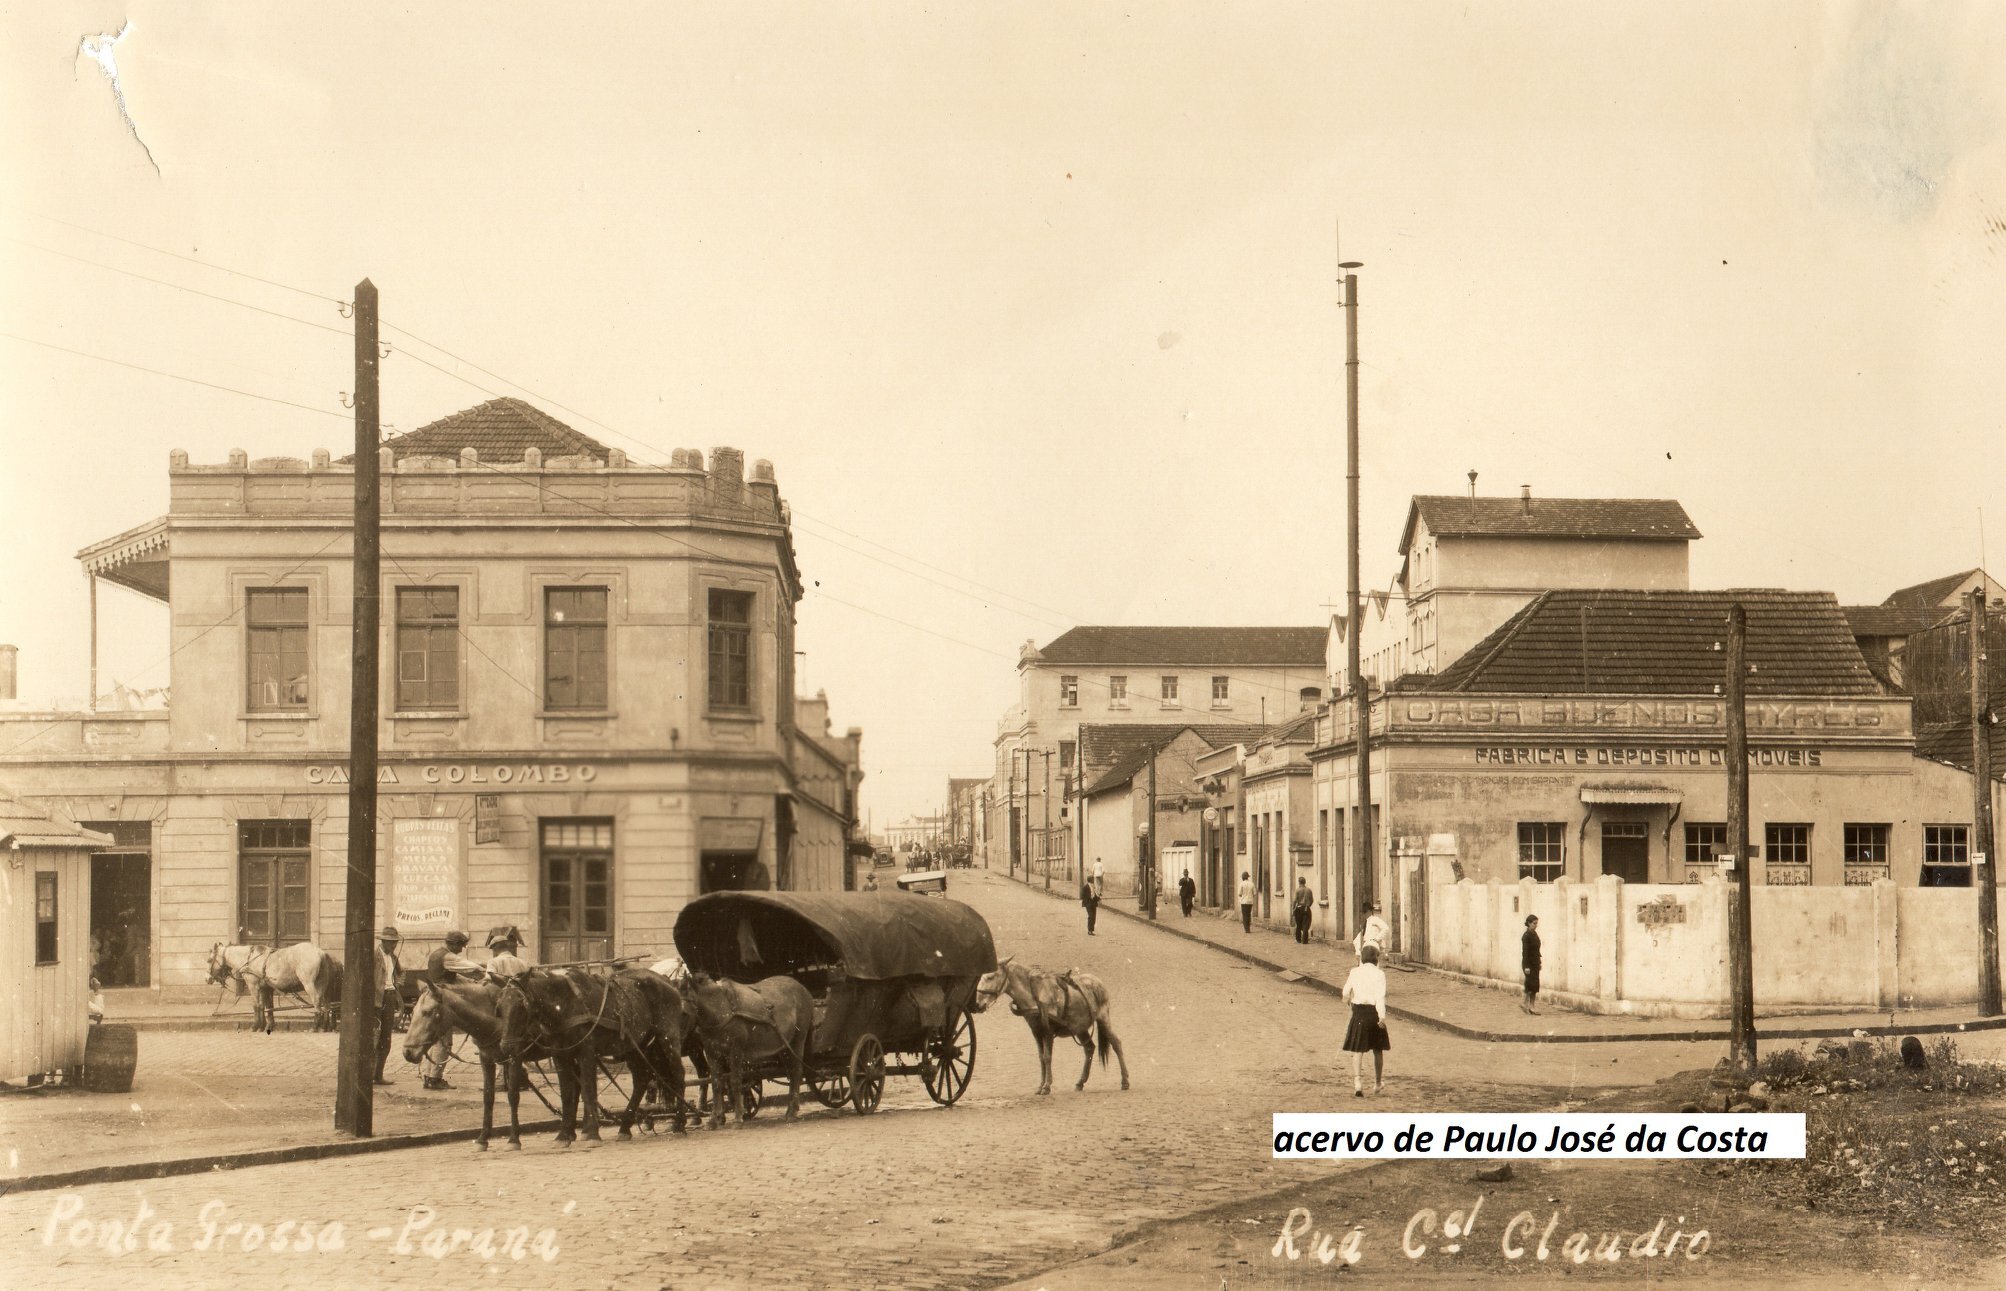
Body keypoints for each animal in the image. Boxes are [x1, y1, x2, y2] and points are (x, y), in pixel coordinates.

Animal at [208, 942, 341, 1034]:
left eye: (209, 960)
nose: (207, 979)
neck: (250, 959)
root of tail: (322, 953)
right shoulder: (265, 988)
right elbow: (266, 1007)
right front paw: (266, 1026)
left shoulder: (253, 986)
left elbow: (256, 1006)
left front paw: (255, 1026)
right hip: (323, 986)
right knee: (326, 1005)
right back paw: (325, 1027)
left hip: (309, 985)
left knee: (317, 1004)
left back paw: (314, 1027)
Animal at [493, 974, 698, 1146]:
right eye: (499, 1008)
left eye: (522, 1006)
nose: (506, 1047)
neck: (565, 1005)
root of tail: (669, 984)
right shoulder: (560, 1056)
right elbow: (567, 1094)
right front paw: (564, 1135)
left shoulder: (587, 1052)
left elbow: (588, 1090)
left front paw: (591, 1134)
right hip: (636, 1047)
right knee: (641, 1079)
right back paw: (625, 1127)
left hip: (667, 1038)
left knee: (678, 1076)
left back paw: (679, 1123)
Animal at [690, 974, 814, 1122]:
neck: (722, 1008)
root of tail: (802, 988)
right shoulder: (711, 1052)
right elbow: (716, 1083)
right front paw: (714, 1120)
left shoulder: (735, 1050)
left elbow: (735, 1080)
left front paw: (738, 1117)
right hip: (784, 1047)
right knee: (791, 1073)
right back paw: (790, 1110)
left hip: (798, 1040)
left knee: (796, 1072)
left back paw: (791, 1112)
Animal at [970, 954, 1131, 1090]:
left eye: (990, 977)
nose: (977, 1004)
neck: (1036, 996)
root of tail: (1097, 981)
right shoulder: (1036, 1032)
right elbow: (1041, 1058)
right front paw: (1041, 1085)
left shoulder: (1047, 1032)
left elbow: (1047, 1057)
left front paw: (1047, 1086)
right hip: (1079, 1027)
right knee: (1089, 1048)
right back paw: (1080, 1082)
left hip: (1103, 1019)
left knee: (1116, 1043)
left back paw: (1125, 1080)